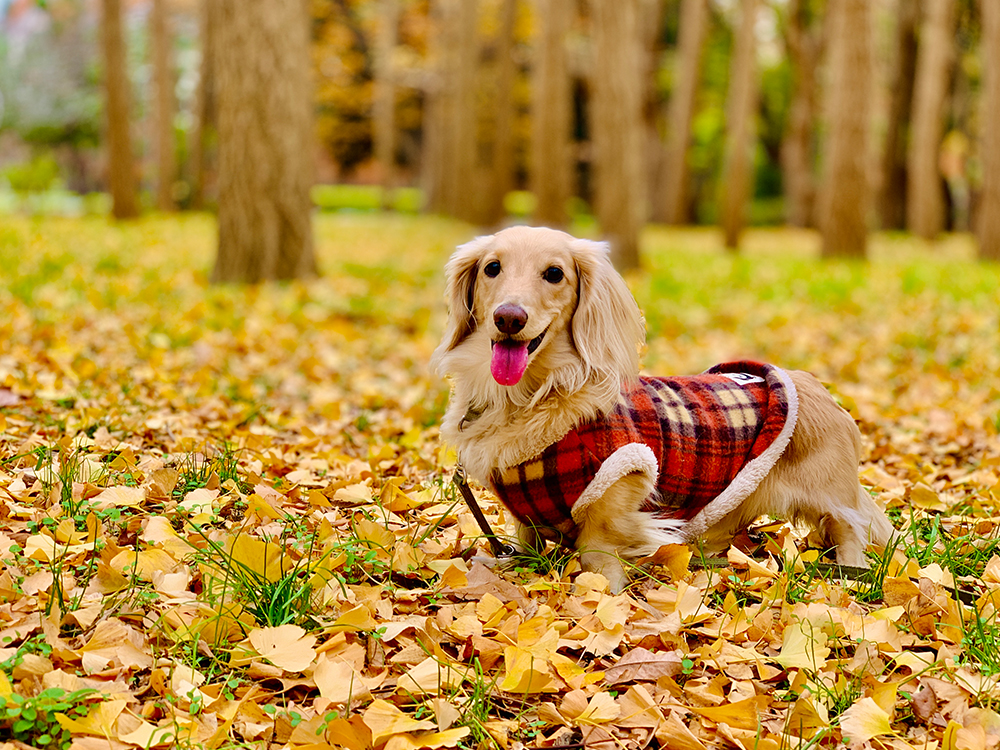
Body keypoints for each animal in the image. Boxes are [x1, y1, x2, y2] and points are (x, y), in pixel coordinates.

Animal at [434, 226, 896, 592]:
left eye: (554, 274)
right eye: (492, 268)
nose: (509, 318)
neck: (531, 396)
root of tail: (817, 387)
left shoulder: (618, 488)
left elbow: (598, 552)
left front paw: (602, 594)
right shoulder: (525, 517)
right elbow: (525, 540)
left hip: (829, 496)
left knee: (849, 529)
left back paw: (850, 574)